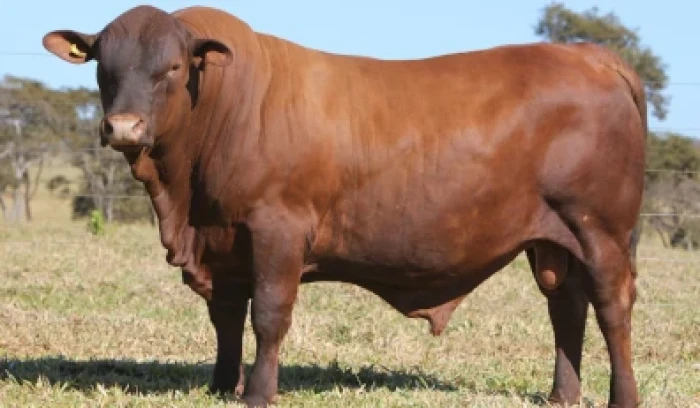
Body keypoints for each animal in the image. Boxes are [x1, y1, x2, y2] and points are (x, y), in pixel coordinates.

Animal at [42, 5, 647, 408]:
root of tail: (588, 55)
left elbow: (269, 315)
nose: (123, 127)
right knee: (566, 308)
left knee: (612, 309)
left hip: (600, 231)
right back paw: (563, 395)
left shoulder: (277, 229)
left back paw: (622, 397)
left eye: (171, 68)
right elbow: (227, 317)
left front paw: (258, 393)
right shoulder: (223, 239)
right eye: (102, 66)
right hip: (552, 240)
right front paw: (219, 385)